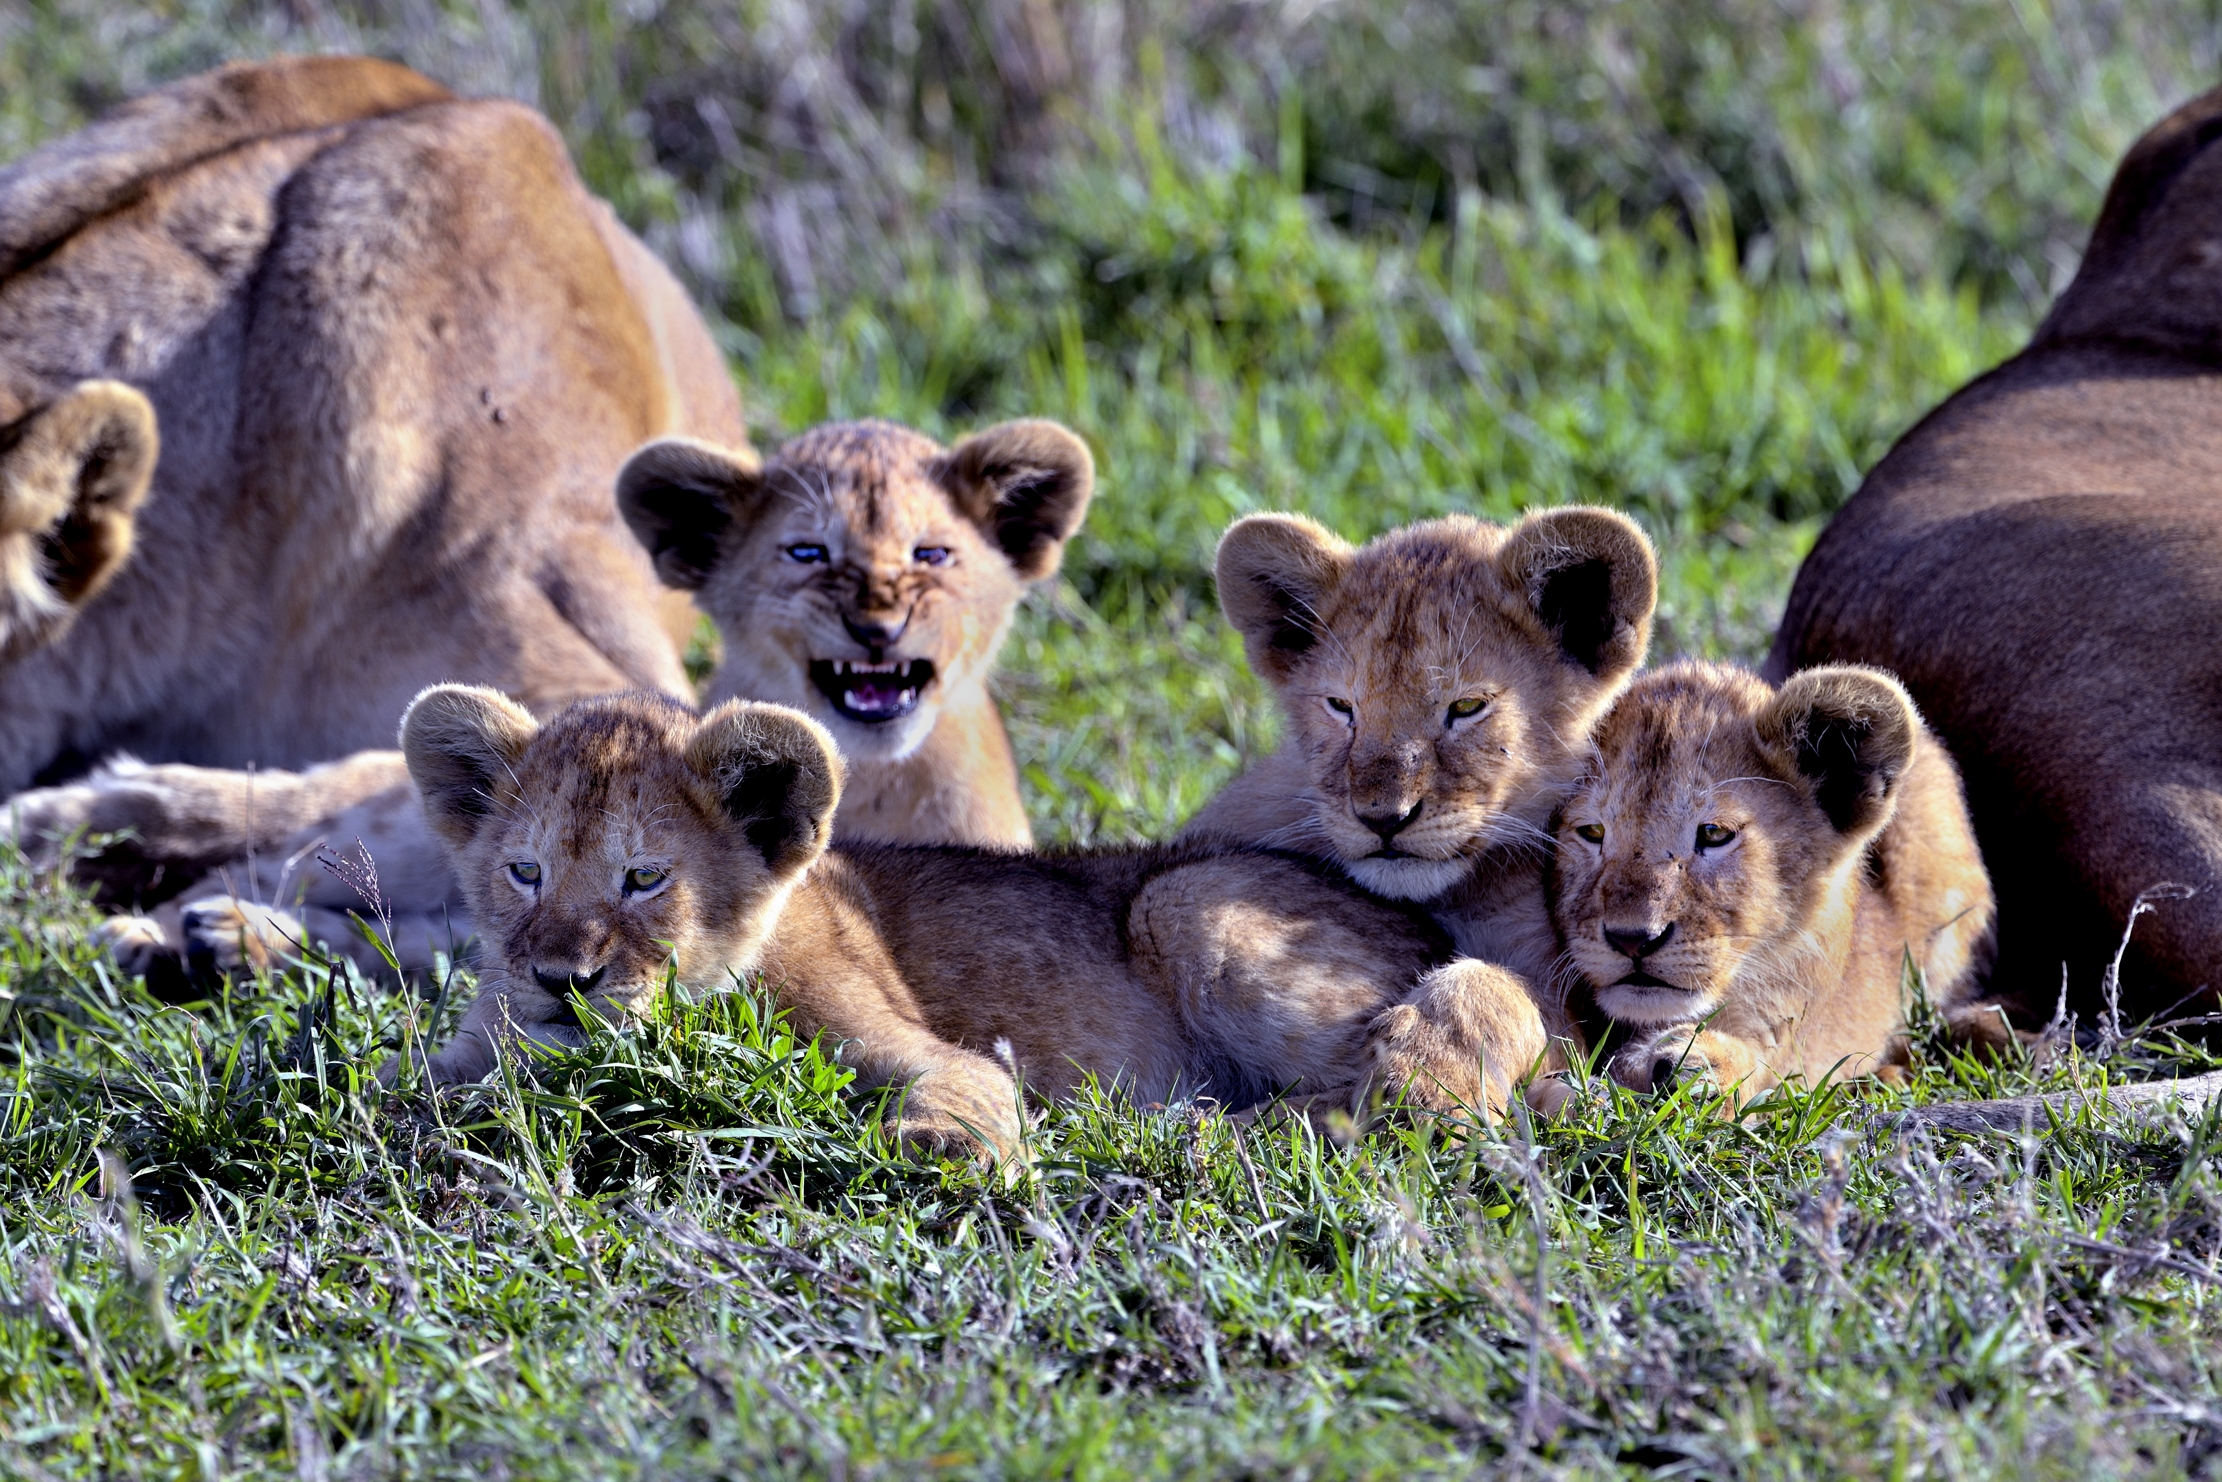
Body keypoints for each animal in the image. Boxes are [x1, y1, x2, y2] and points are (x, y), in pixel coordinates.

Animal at [8, 416, 1094, 985]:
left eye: (932, 554)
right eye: (805, 553)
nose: (876, 624)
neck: (864, 778)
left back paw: (204, 942)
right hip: (378, 833)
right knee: (260, 857)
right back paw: (150, 927)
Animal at [393, 686, 1543, 1158]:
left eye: (643, 879)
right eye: (525, 872)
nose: (561, 983)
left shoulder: (927, 1051)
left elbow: (962, 1093)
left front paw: (940, 1145)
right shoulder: (469, 1056)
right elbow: (410, 1093)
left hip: (1184, 899)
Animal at [1181, 508, 1659, 1111]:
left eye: (1468, 706)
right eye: (1341, 706)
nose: (1383, 818)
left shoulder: (1569, 1003)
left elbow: (1499, 992)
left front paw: (1426, 1069)